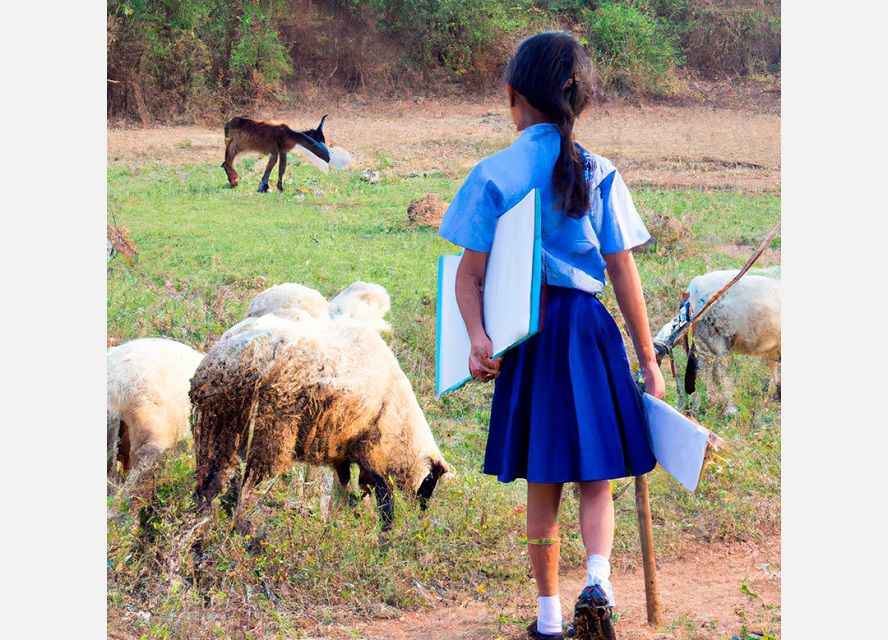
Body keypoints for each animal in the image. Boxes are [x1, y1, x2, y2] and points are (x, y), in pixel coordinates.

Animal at [107, 338, 205, 492]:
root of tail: (117, 385)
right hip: (151, 420)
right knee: (142, 456)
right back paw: (128, 492)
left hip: (113, 420)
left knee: (111, 457)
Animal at [190, 282, 448, 528]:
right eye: (431, 481)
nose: (421, 514)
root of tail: (232, 359)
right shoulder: (374, 452)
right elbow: (383, 499)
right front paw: (382, 530)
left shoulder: (345, 449)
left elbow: (345, 485)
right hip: (269, 434)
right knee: (247, 485)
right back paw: (240, 525)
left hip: (219, 425)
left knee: (210, 479)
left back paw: (202, 516)